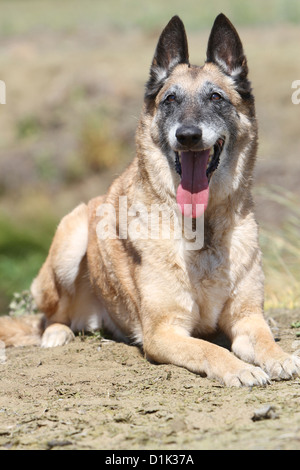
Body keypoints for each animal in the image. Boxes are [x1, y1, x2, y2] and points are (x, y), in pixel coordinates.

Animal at [1, 14, 298, 388]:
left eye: (216, 97)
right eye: (170, 100)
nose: (188, 136)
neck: (202, 229)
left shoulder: (246, 318)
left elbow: (262, 338)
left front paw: (280, 357)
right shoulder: (163, 332)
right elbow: (209, 349)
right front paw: (240, 368)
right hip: (71, 239)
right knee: (49, 316)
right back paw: (56, 333)